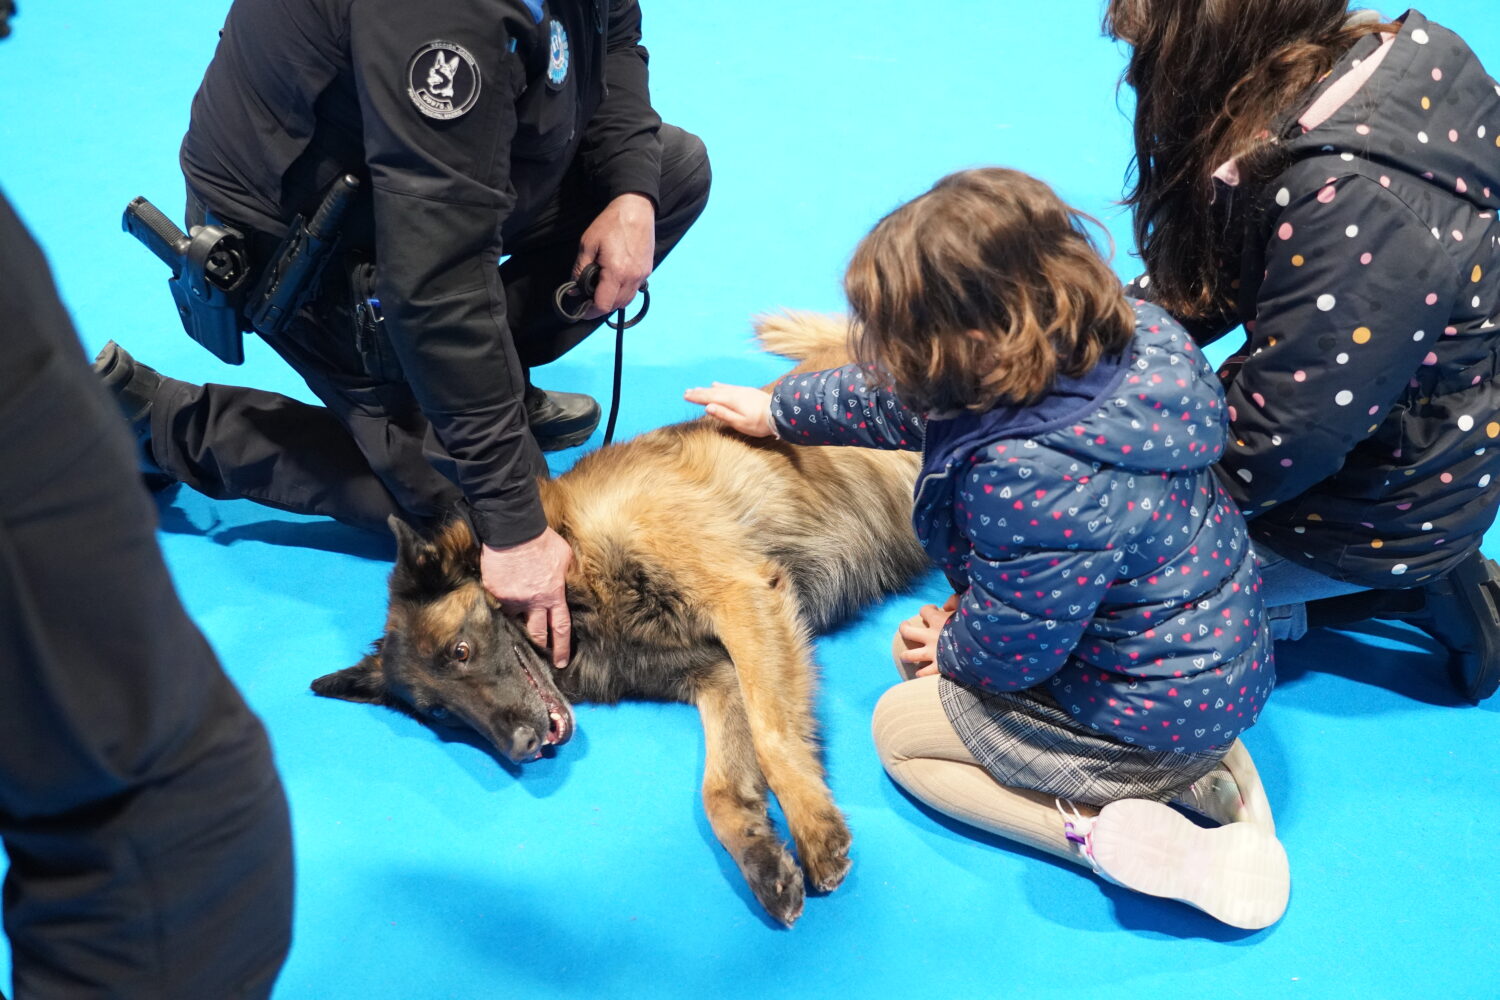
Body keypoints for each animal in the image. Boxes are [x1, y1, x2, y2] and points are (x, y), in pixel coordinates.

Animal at [311, 313, 928, 925]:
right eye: (439, 713)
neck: (578, 573)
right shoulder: (717, 676)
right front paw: (761, 856)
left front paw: (812, 829)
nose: (518, 747)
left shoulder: (746, 598)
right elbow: (721, 791)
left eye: (460, 652)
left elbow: (773, 737)